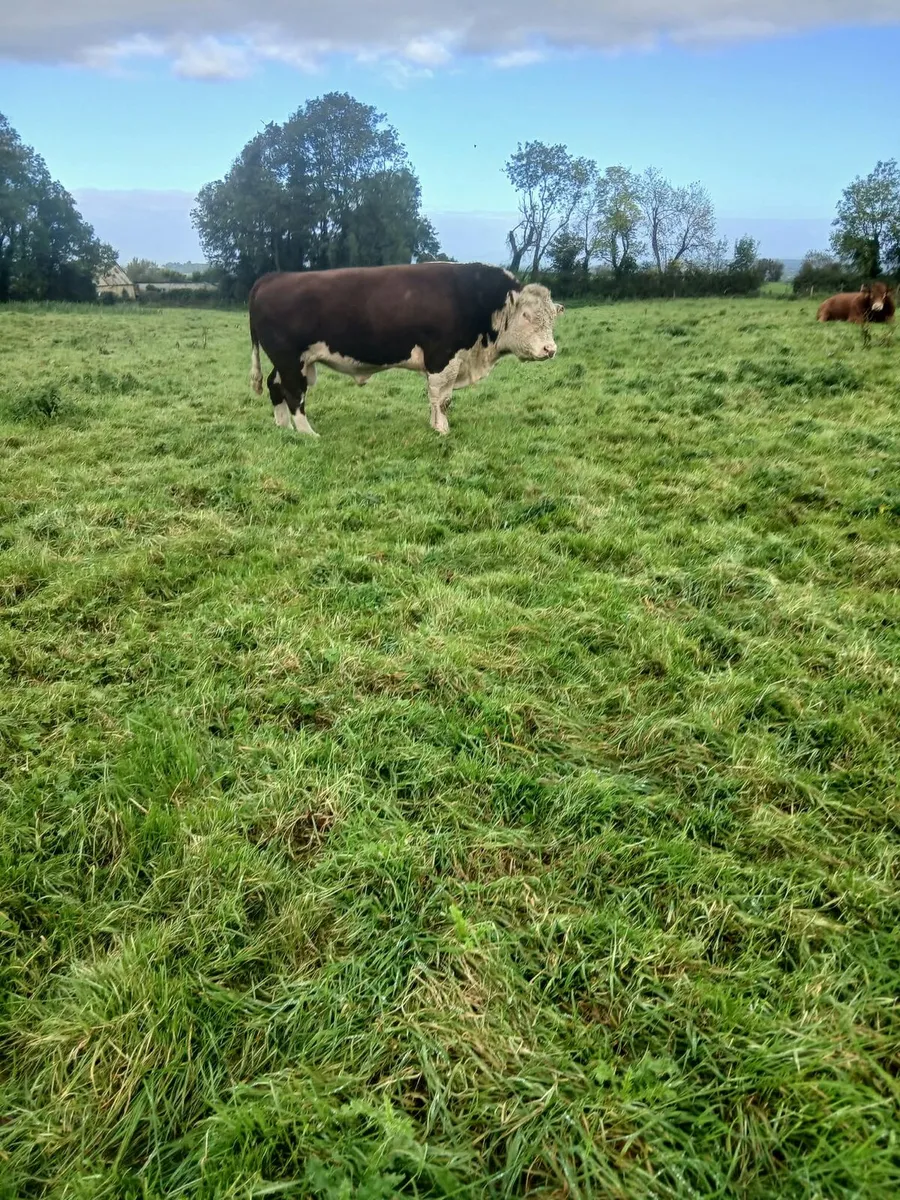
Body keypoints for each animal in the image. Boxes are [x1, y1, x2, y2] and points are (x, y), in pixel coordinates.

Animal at [247, 262, 564, 437]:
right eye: (527, 316)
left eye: (552, 317)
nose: (550, 349)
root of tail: (274, 277)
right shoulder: (443, 358)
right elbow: (441, 398)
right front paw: (441, 429)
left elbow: (437, 398)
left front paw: (435, 425)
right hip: (291, 360)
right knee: (294, 394)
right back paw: (307, 433)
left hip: (288, 361)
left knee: (274, 385)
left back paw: (284, 428)